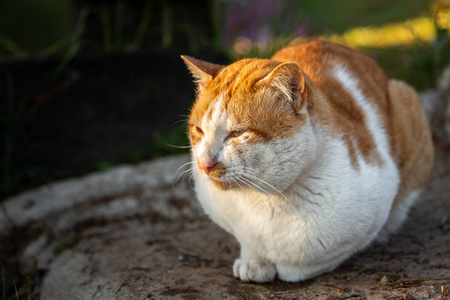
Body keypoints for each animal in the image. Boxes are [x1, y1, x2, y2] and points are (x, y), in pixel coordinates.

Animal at [181, 40, 434, 284]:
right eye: (199, 130)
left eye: (238, 133)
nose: (204, 163)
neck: (266, 200)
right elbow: (248, 241)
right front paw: (253, 260)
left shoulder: (381, 192)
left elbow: (315, 258)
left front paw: (285, 267)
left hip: (406, 100)